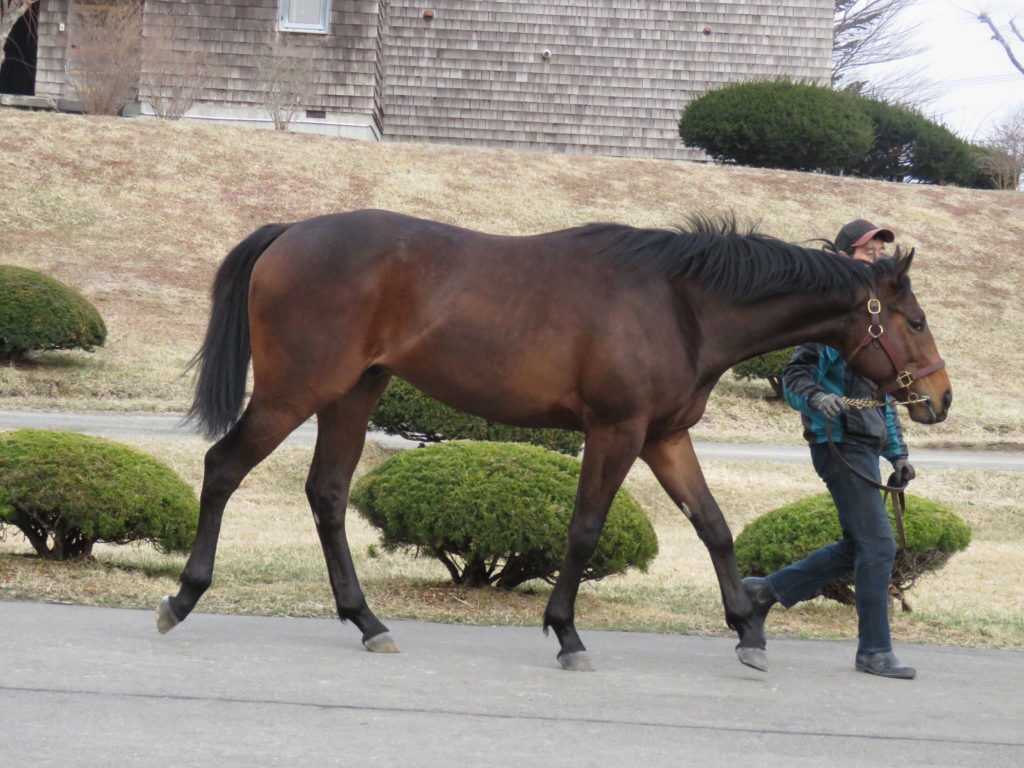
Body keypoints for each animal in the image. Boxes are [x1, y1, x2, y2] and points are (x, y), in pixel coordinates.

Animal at [159, 210, 950, 671]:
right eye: (913, 320)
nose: (939, 399)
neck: (680, 303)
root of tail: (289, 232)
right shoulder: (617, 430)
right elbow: (584, 530)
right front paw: (566, 632)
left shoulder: (664, 437)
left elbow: (713, 526)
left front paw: (748, 627)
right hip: (297, 391)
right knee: (223, 467)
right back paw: (184, 597)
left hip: (355, 392)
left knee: (326, 493)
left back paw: (366, 620)